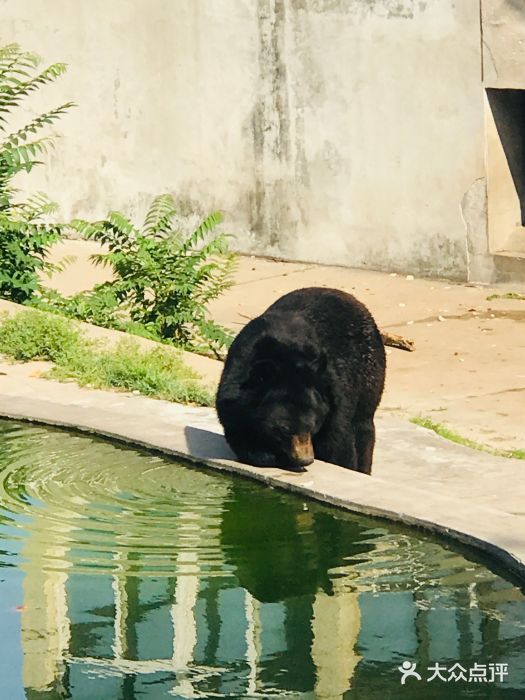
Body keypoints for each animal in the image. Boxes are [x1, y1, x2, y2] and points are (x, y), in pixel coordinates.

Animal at [214, 286, 384, 476]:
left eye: (313, 425)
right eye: (284, 429)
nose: (306, 459)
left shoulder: (333, 395)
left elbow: (338, 443)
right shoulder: (235, 394)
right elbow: (241, 433)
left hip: (368, 370)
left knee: (363, 425)